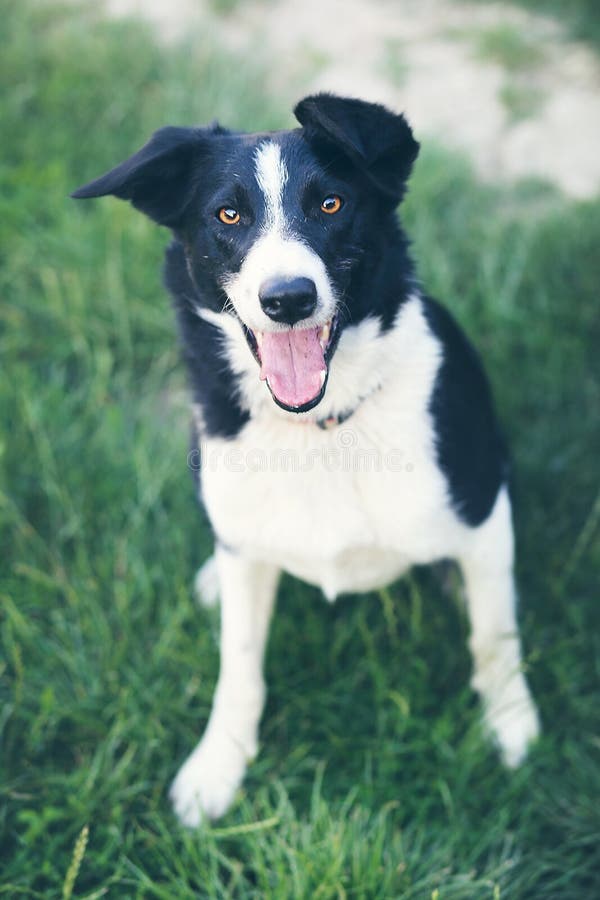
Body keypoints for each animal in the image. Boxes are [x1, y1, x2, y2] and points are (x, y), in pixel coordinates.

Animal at [72, 95, 540, 828]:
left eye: (330, 203)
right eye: (227, 215)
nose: (287, 298)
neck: (318, 425)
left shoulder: (482, 511)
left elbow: (496, 634)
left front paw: (513, 725)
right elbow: (239, 666)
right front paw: (217, 768)